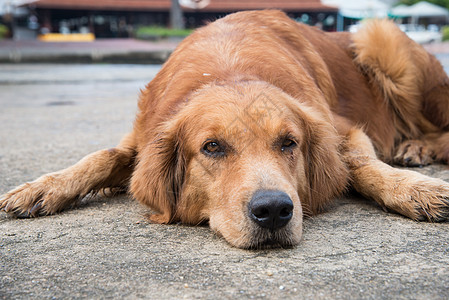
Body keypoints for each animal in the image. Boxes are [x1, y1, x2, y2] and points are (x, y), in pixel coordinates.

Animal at [0, 9, 448, 248]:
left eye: (289, 143)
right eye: (212, 147)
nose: (273, 210)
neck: (228, 69)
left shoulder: (344, 128)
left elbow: (361, 164)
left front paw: (416, 190)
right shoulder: (142, 138)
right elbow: (105, 154)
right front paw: (42, 188)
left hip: (382, 38)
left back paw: (418, 148)